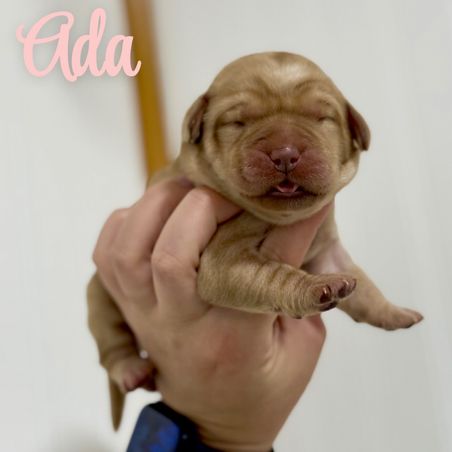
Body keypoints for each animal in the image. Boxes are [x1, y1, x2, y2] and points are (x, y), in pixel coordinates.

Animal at [87, 51, 423, 429]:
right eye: (238, 122)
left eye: (322, 118)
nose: (286, 153)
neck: (282, 217)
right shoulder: (223, 261)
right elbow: (276, 277)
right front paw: (315, 289)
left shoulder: (326, 248)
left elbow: (365, 286)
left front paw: (394, 312)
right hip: (99, 298)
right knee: (112, 345)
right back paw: (129, 369)